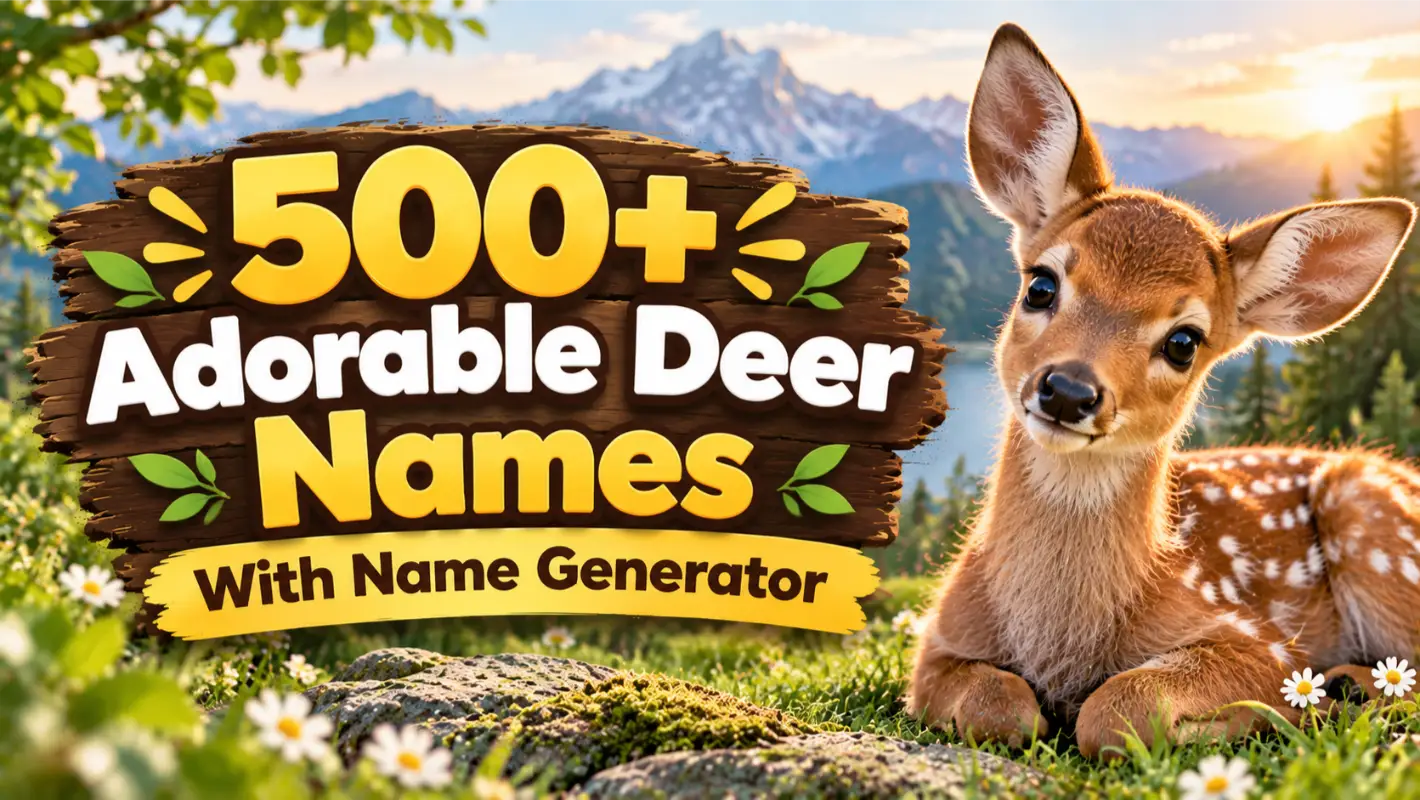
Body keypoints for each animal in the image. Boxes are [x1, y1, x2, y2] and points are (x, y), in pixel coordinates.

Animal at [906, 22, 1420, 760]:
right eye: (1042, 283)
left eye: (1184, 341)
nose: (1068, 390)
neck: (1061, 643)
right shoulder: (937, 635)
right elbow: (997, 708)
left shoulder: (1262, 642)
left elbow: (1118, 707)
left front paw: (1289, 711)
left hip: (1371, 513)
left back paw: (1350, 688)